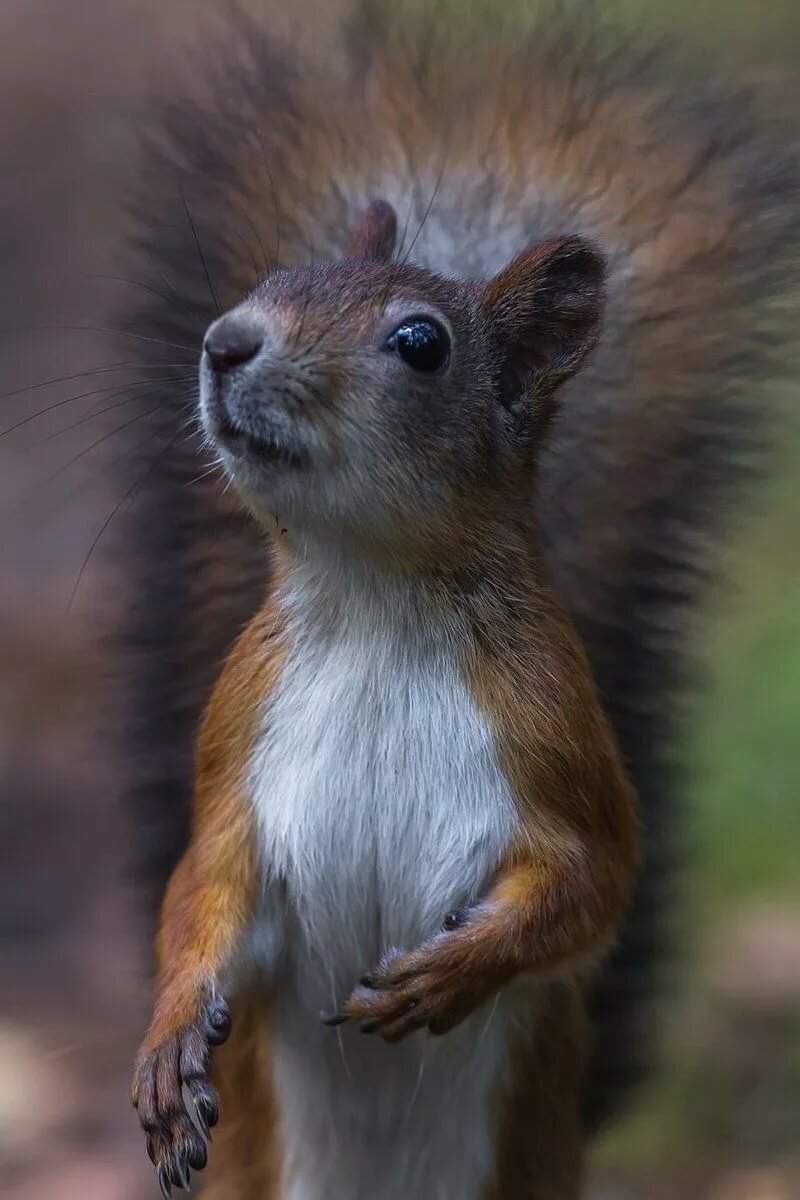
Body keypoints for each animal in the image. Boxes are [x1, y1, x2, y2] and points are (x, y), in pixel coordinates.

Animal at [120, 3, 799, 1198]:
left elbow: (595, 883)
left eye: (419, 344)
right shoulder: (238, 737)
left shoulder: (555, 730)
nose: (224, 343)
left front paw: (453, 974)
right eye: (275, 273)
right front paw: (168, 1037)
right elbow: (202, 891)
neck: (373, 597)